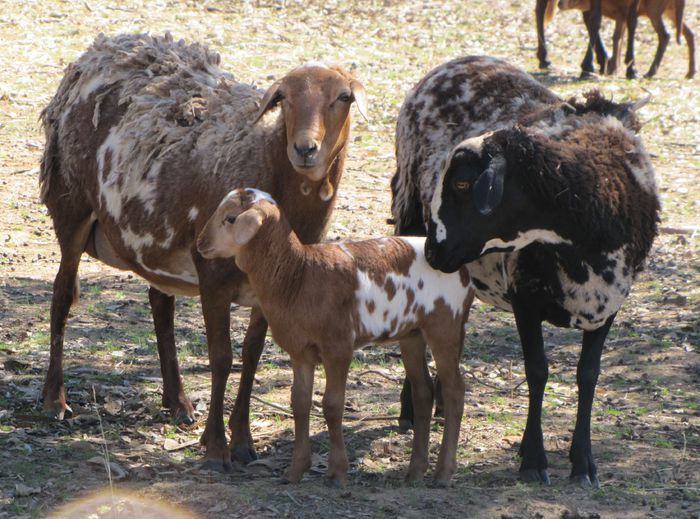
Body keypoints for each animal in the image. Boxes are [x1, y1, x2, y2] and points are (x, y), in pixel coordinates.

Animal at [39, 32, 370, 472]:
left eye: (344, 97)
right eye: (283, 97)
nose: (305, 149)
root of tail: (100, 49)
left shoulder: (269, 291)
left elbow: (250, 356)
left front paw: (243, 441)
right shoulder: (213, 275)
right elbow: (221, 358)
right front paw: (215, 447)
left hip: (154, 238)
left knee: (159, 303)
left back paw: (178, 401)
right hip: (71, 201)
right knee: (62, 296)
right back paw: (54, 400)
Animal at [194, 188, 474, 488]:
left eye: (231, 218)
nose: (200, 244)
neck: (299, 274)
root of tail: (463, 272)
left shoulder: (338, 346)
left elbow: (332, 405)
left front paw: (337, 472)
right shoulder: (300, 351)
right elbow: (300, 403)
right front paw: (295, 471)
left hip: (445, 326)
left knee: (454, 392)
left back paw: (443, 473)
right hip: (412, 334)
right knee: (423, 393)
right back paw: (414, 472)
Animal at [392, 57, 660, 488]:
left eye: (463, 183)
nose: (435, 249)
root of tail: (457, 62)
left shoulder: (609, 304)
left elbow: (588, 374)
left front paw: (583, 462)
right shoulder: (525, 298)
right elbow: (537, 371)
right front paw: (534, 458)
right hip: (408, 213)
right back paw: (411, 408)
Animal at [556, 0, 696, 79]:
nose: (560, 3)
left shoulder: (626, 9)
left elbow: (630, 25)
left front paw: (631, 69)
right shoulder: (619, 13)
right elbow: (597, 22)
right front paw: (589, 68)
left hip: (658, 12)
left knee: (668, 34)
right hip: (665, 12)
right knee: (685, 34)